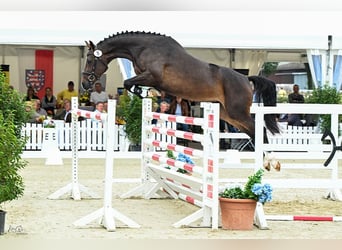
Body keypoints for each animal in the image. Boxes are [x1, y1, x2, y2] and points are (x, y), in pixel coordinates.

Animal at [81, 30, 280, 143]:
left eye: (90, 60)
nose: (84, 83)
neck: (144, 48)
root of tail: (246, 79)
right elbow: (133, 84)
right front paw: (145, 94)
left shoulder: (152, 76)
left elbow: (128, 82)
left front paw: (141, 92)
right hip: (227, 114)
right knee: (252, 132)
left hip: (237, 112)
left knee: (259, 130)